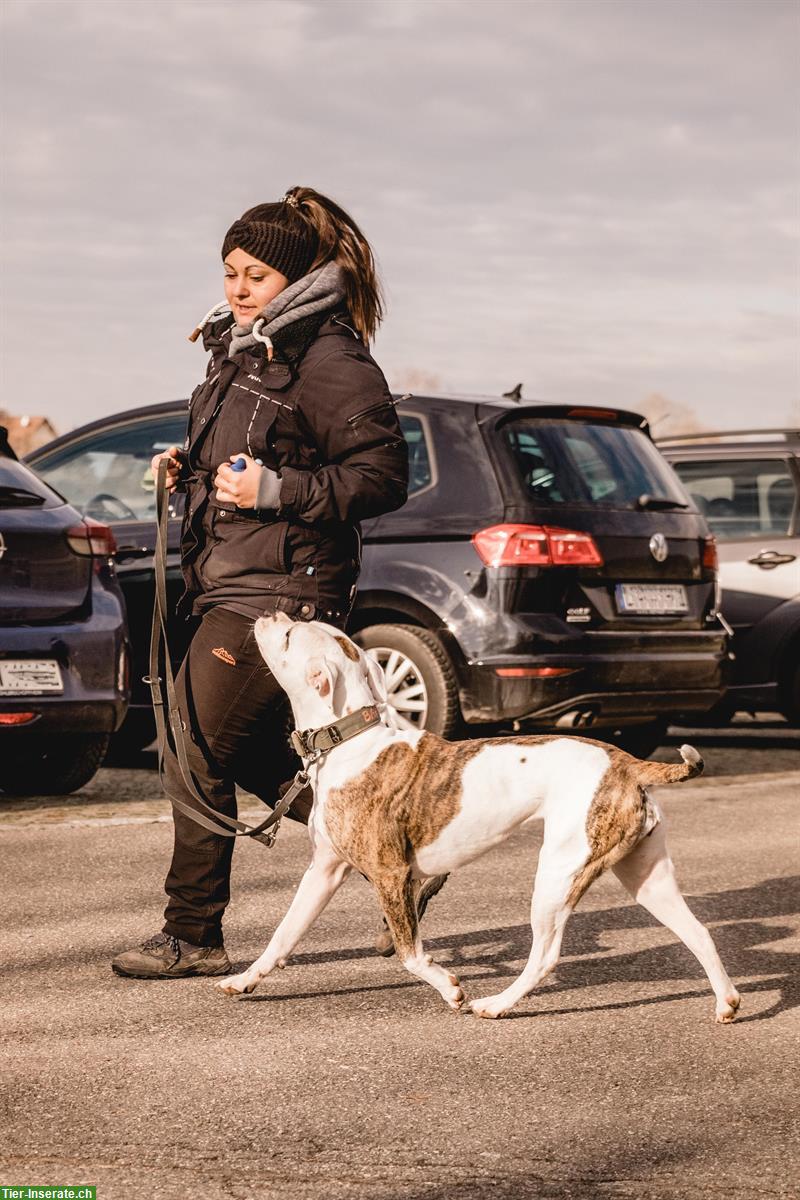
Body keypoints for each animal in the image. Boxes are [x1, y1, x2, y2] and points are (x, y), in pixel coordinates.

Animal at [217, 619, 738, 1022]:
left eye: (288, 635)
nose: (270, 611)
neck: (348, 742)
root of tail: (628, 763)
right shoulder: (324, 871)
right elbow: (284, 933)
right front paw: (244, 979)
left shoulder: (391, 876)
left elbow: (410, 954)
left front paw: (450, 988)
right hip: (646, 877)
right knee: (698, 931)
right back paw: (727, 1003)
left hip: (557, 876)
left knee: (545, 955)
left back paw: (497, 1004)